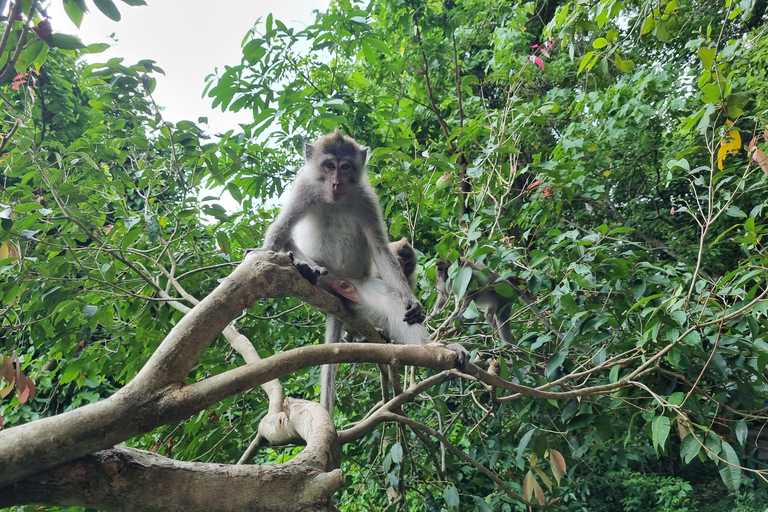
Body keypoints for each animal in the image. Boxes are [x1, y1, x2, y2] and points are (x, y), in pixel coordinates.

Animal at [255, 130, 468, 414]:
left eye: (345, 167)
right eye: (328, 165)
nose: (336, 183)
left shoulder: (366, 199)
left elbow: (380, 251)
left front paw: (412, 301)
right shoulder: (304, 189)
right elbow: (282, 228)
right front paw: (262, 255)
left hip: (360, 289)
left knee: (391, 301)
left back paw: (434, 350)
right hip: (326, 283)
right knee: (293, 245)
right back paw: (308, 270)